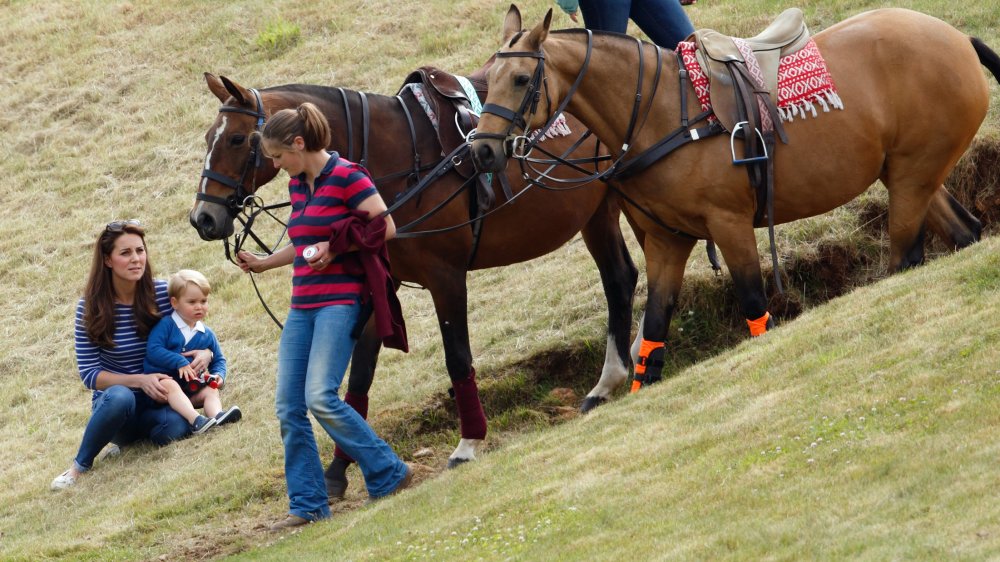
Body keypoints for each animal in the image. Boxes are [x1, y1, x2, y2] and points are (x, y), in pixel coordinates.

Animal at [188, 65, 640, 476]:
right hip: (604, 210)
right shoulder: (377, 284)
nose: (203, 218)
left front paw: (468, 442)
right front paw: (339, 470)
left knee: (623, 277)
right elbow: (359, 378)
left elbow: (457, 359)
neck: (400, 158)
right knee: (625, 276)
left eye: (237, 139)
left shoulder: (446, 278)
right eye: (209, 139)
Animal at [474, 5, 992, 390]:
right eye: (485, 81)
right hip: (909, 176)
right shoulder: (667, 242)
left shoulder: (729, 224)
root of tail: (957, 37)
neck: (663, 112)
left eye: (520, 80)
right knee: (962, 233)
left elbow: (754, 306)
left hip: (912, 177)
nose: (481, 150)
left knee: (907, 257)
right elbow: (653, 336)